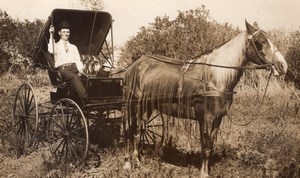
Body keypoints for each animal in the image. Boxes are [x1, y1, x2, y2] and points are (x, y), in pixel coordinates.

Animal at [122, 20, 288, 177]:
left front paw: (206, 171)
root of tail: (134, 66)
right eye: (261, 41)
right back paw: (128, 163)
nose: (282, 66)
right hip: (132, 106)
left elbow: (210, 146)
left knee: (139, 131)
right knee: (130, 130)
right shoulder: (206, 118)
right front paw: (203, 173)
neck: (215, 78)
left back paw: (137, 161)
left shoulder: (217, 118)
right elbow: (206, 146)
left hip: (146, 108)